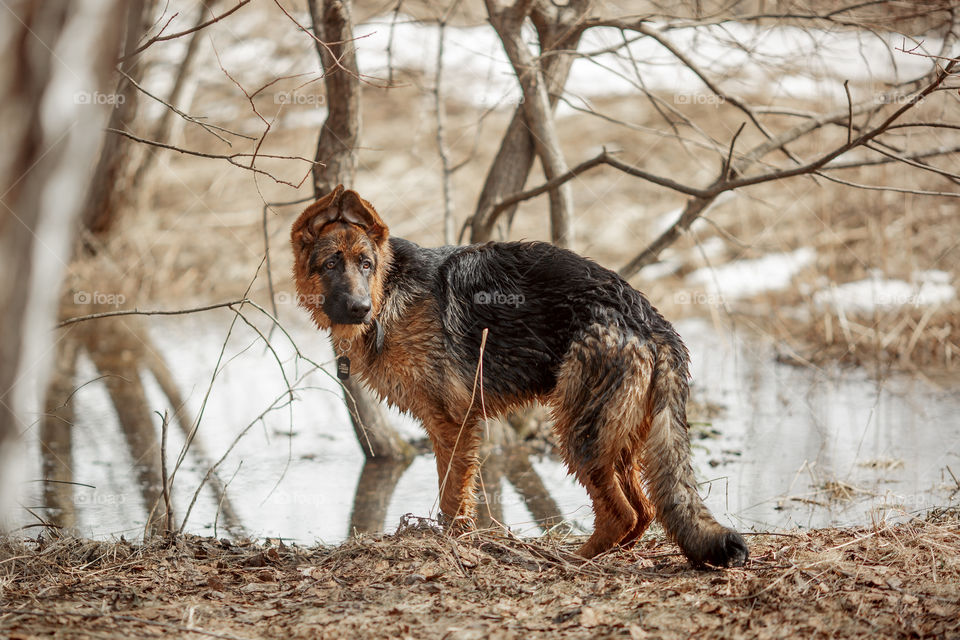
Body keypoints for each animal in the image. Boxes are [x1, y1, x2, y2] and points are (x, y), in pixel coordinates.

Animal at [290, 184, 752, 564]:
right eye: (330, 264)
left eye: (366, 264)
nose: (358, 309)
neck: (390, 292)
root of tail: (650, 319)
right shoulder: (452, 427)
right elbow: (458, 495)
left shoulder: (452, 424)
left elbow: (452, 497)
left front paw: (452, 545)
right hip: (615, 437)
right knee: (643, 510)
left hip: (580, 432)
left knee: (621, 513)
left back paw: (575, 560)